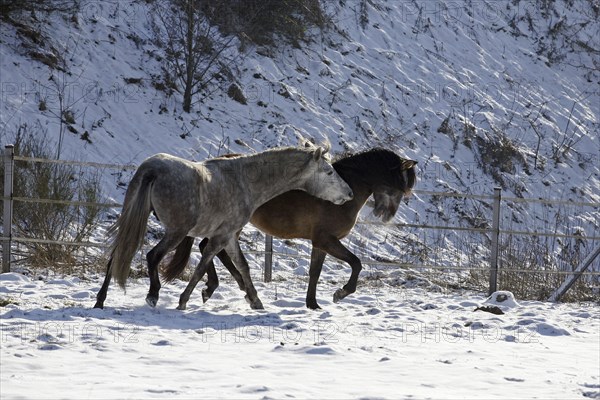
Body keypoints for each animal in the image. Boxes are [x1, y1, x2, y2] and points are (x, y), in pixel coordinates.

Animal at [93, 144, 352, 310]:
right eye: (329, 172)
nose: (349, 193)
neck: (244, 180)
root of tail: (151, 169)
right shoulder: (222, 236)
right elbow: (203, 266)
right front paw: (184, 300)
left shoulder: (229, 237)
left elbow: (242, 266)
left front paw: (255, 301)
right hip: (176, 232)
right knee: (152, 256)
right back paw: (153, 294)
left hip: (137, 221)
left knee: (116, 255)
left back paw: (100, 300)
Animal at [163, 149, 418, 310]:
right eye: (400, 186)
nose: (385, 215)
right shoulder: (327, 239)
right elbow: (356, 263)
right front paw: (340, 293)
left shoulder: (320, 243)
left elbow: (315, 272)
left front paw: (312, 304)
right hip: (232, 225)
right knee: (211, 247)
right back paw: (224, 289)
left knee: (211, 248)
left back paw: (229, 289)